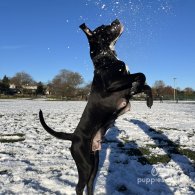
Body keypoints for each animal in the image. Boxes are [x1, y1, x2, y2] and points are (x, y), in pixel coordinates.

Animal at [39, 18, 152, 195]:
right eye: (103, 28)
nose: (116, 20)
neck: (105, 58)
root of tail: (73, 136)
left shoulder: (126, 86)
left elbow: (144, 84)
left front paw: (149, 101)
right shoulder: (113, 84)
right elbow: (141, 75)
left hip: (95, 163)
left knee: (89, 184)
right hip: (85, 164)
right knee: (79, 186)